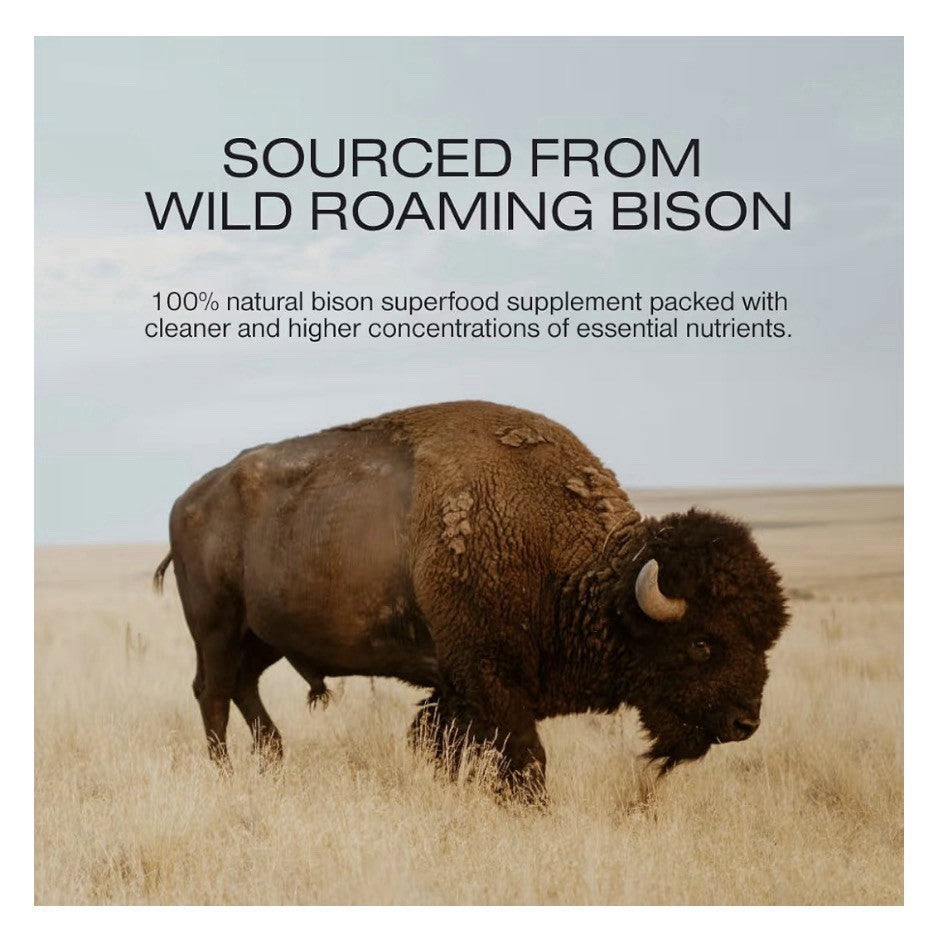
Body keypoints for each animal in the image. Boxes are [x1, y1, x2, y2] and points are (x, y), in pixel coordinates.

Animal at [154, 401, 788, 793]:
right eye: (702, 642)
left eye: (766, 640)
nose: (745, 722)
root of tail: (187, 499)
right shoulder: (488, 678)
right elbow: (525, 759)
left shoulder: (458, 689)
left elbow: (446, 746)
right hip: (216, 626)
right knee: (212, 693)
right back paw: (226, 773)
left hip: (264, 637)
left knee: (243, 687)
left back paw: (274, 758)